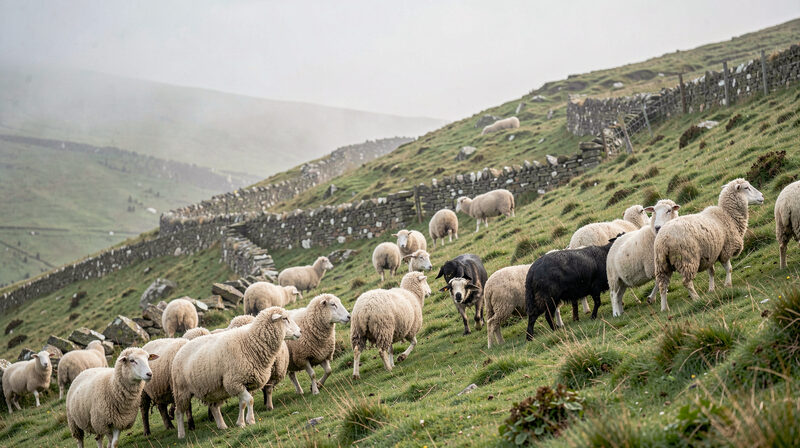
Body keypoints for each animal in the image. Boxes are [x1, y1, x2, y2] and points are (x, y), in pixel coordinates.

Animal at [170, 306, 301, 438]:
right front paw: (250, 420)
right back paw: (181, 435)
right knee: (179, 412)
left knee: (214, 407)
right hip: (181, 390)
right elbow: (250, 400)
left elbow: (243, 403)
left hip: (214, 389)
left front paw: (241, 423)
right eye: (284, 318)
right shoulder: (234, 382)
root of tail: (181, 348)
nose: (300, 331)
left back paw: (222, 426)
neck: (250, 343)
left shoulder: (244, 383)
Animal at [654, 179, 764, 311]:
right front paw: (728, 284)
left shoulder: (709, 253)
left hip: (662, 264)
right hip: (687, 259)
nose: (762, 196)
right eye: (746, 188)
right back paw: (696, 299)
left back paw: (664, 308)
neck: (728, 216)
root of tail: (663, 240)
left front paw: (711, 289)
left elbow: (711, 272)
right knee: (686, 282)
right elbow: (729, 268)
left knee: (662, 285)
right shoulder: (726, 249)